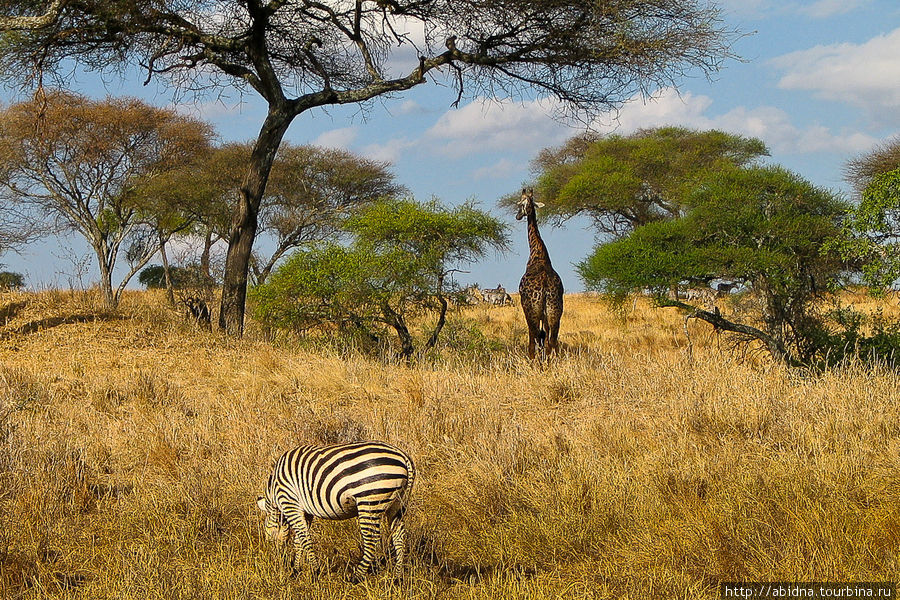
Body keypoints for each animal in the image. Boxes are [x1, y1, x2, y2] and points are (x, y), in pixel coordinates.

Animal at [258, 440, 416, 580]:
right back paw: (397, 577)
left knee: (372, 539)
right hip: (397, 503)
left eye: (267, 534)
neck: (273, 493)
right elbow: (299, 541)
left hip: (369, 501)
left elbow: (304, 538)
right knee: (399, 535)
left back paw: (356, 576)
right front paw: (297, 570)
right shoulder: (305, 511)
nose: (276, 559)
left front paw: (314, 571)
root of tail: (403, 456)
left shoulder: (290, 503)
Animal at [516, 189, 560, 356]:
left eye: (520, 204)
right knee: (552, 340)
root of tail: (545, 288)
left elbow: (535, 338)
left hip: (532, 310)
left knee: (534, 336)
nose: (518, 216)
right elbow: (545, 338)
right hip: (555, 311)